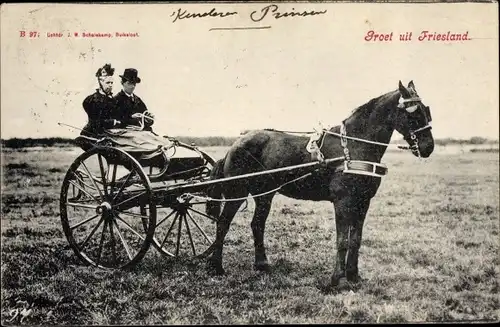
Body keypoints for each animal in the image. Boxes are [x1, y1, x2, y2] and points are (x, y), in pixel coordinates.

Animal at [203, 80, 434, 290]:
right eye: (413, 112)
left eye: (426, 110)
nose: (428, 147)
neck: (352, 146)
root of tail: (235, 144)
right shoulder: (342, 201)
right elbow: (342, 240)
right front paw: (336, 280)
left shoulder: (363, 201)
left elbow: (356, 239)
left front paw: (353, 276)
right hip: (237, 191)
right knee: (223, 223)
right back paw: (216, 267)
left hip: (265, 194)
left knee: (257, 224)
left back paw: (262, 265)